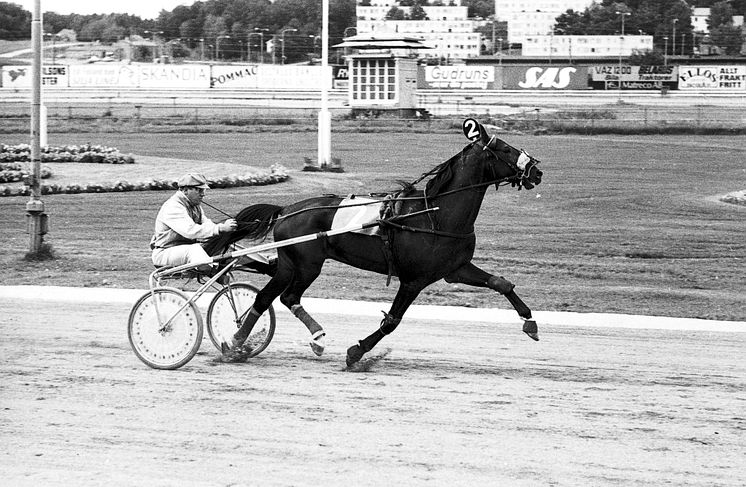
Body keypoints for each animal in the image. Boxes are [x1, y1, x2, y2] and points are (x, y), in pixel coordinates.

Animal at [203, 120, 540, 368]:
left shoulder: (454, 269)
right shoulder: (414, 279)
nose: (536, 169)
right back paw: (248, 343)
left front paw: (530, 322)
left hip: (290, 264)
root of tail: (287, 209)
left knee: (271, 298)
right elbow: (392, 321)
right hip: (307, 264)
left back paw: (249, 342)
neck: (434, 215)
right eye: (505, 148)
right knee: (280, 297)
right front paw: (356, 352)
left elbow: (501, 283)